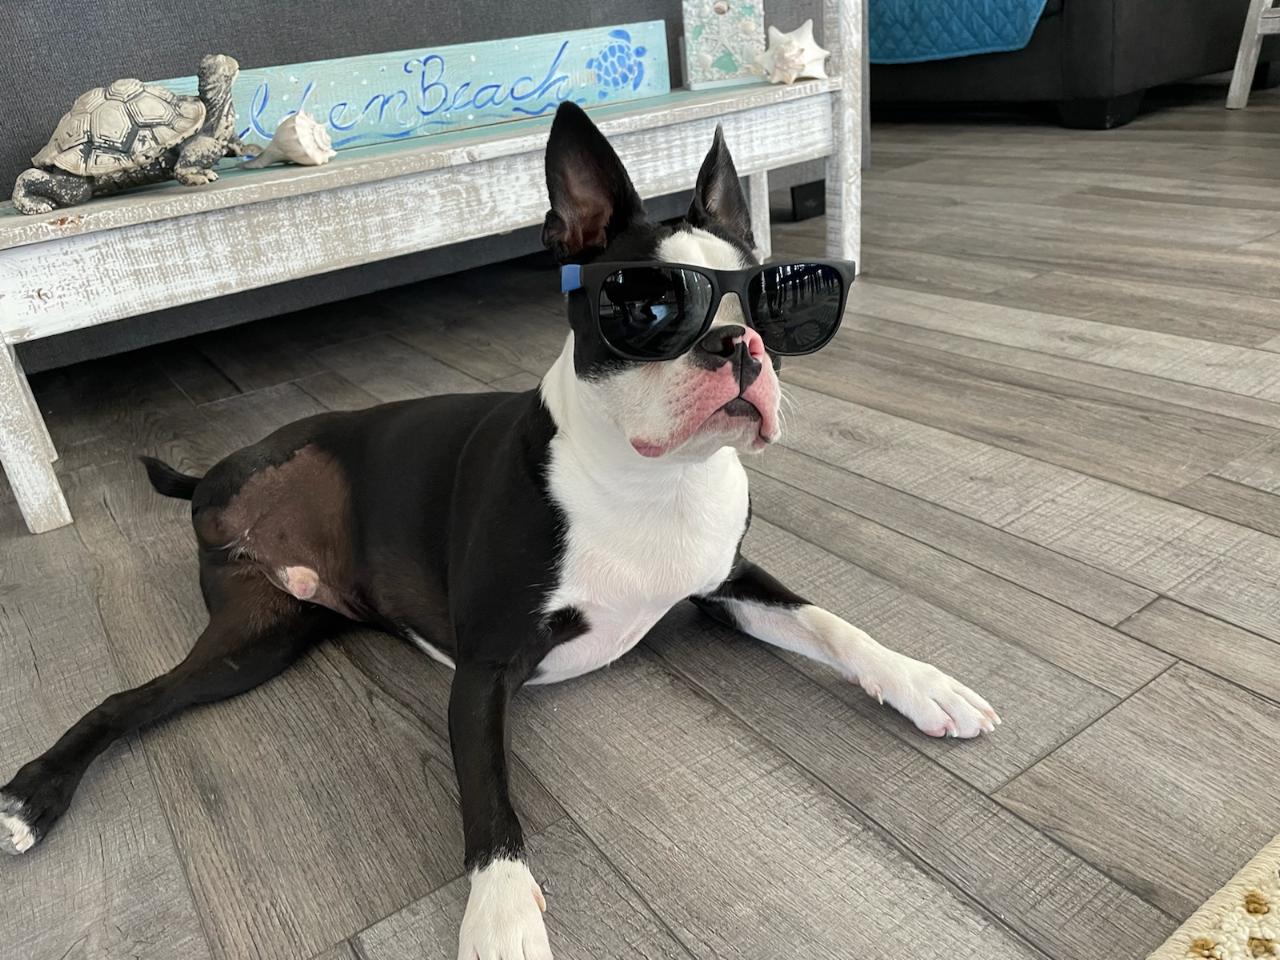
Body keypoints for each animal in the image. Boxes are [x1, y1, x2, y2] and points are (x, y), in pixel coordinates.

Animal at [0, 101, 998, 957]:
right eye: (645, 306)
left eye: (770, 305)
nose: (738, 345)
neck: (651, 483)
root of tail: (212, 482)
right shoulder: (484, 667)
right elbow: (488, 797)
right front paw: (500, 911)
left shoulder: (728, 585)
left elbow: (833, 622)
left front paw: (924, 682)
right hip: (247, 629)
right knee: (125, 703)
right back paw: (29, 799)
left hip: (269, 638)